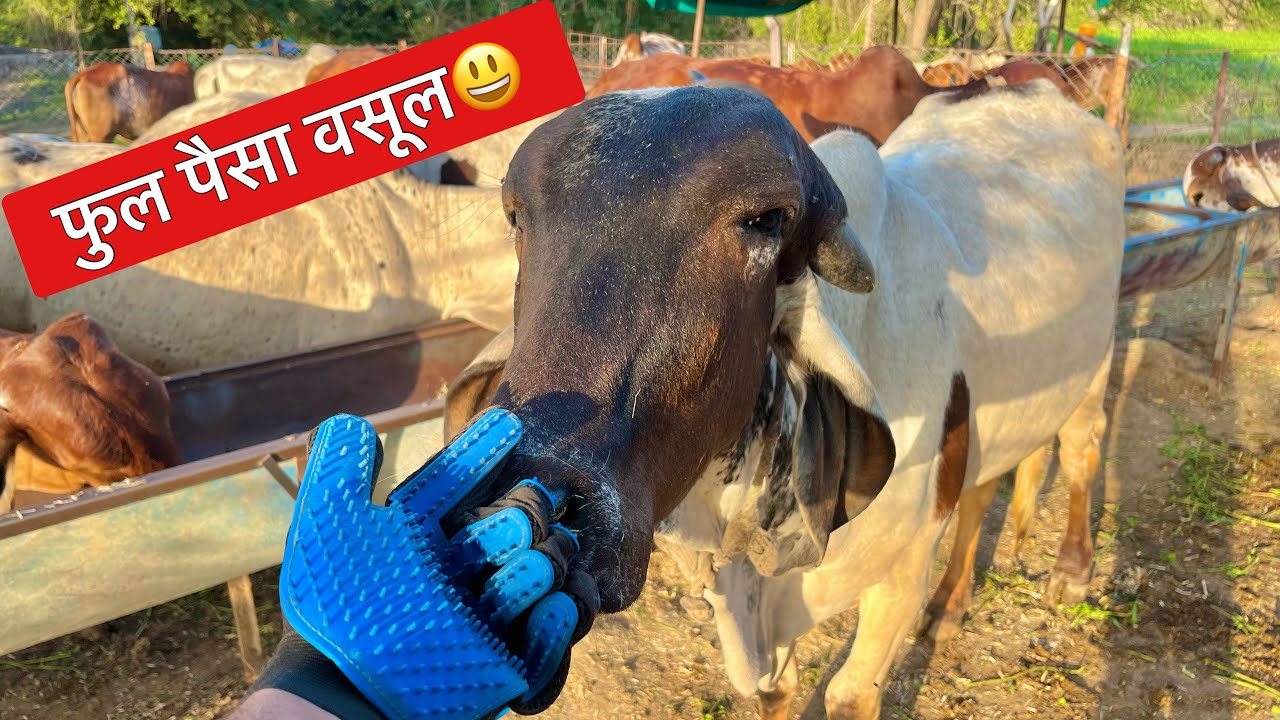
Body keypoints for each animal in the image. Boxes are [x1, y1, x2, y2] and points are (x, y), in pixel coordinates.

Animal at [440, 80, 1125, 720]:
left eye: (766, 220)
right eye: (516, 218)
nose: (535, 482)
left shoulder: (905, 563)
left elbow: (848, 694)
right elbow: (779, 690)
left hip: (1096, 365)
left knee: (1083, 446)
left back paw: (1070, 571)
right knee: (986, 486)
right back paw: (951, 606)